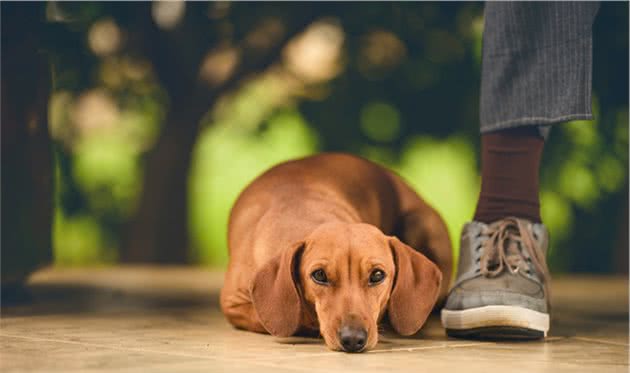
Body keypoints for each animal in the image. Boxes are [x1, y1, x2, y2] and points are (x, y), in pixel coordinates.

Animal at [220, 153, 452, 350]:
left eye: (377, 275)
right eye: (319, 275)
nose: (353, 339)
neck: (302, 210)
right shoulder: (233, 304)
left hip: (420, 223)